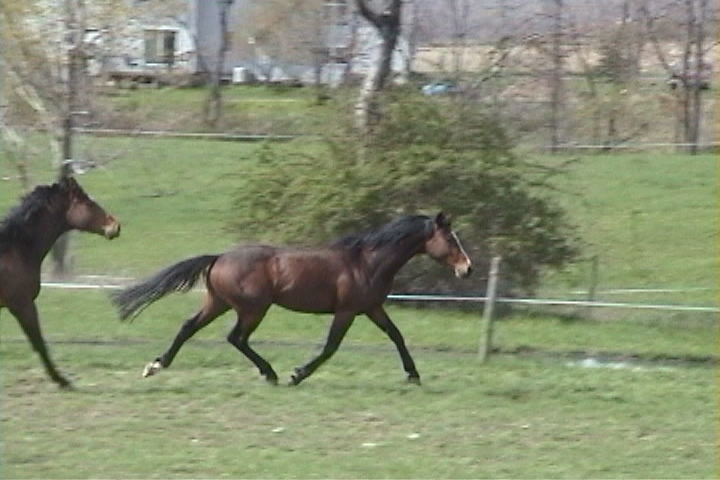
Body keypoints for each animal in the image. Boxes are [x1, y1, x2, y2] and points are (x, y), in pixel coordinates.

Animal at [0, 176, 121, 388]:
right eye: (87, 202)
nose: (115, 225)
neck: (14, 251)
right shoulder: (23, 305)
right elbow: (39, 343)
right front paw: (62, 380)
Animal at [112, 212, 471, 386]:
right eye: (451, 239)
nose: (466, 268)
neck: (366, 262)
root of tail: (219, 258)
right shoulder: (346, 311)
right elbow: (330, 347)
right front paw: (298, 374)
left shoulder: (371, 308)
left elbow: (397, 335)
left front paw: (413, 375)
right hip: (253, 309)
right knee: (236, 337)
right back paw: (270, 373)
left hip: (219, 303)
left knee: (189, 327)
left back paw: (156, 365)